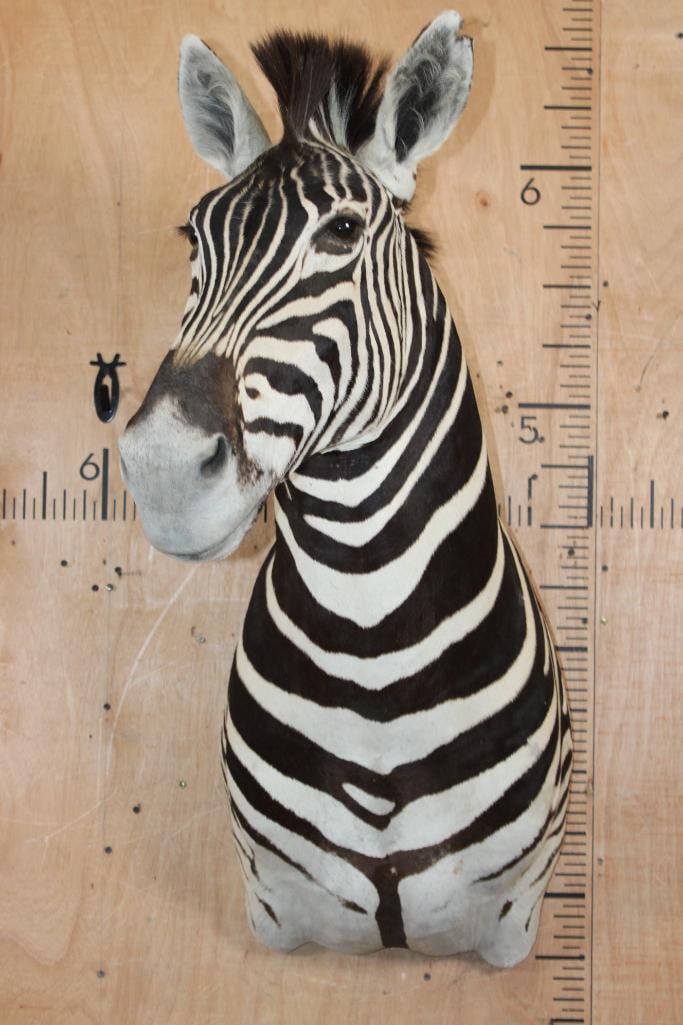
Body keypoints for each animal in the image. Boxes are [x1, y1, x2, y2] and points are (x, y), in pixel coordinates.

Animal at [118, 11, 572, 966]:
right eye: (194, 238)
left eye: (341, 232)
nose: (163, 468)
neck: (373, 654)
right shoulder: (273, 905)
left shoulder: (513, 915)